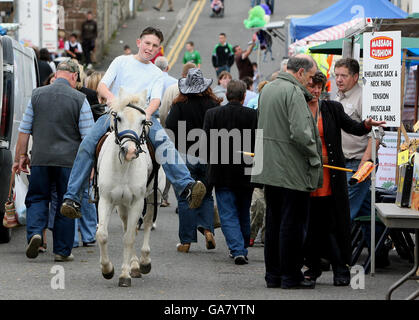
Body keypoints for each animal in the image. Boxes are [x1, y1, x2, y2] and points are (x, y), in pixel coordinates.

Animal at [96, 90, 166, 288]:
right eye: (118, 117)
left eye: (143, 121)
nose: (130, 151)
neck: (123, 167)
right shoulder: (106, 200)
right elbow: (102, 234)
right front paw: (107, 269)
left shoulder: (137, 202)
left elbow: (129, 238)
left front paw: (124, 275)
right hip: (121, 205)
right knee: (129, 226)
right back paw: (134, 265)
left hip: (153, 198)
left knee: (147, 224)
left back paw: (143, 262)